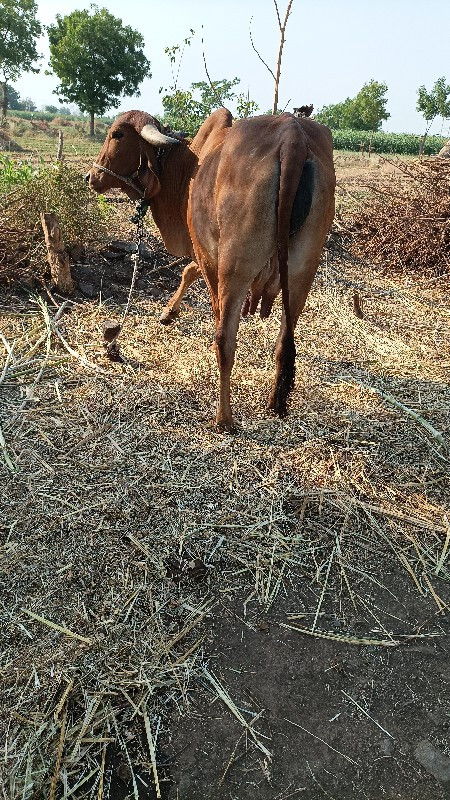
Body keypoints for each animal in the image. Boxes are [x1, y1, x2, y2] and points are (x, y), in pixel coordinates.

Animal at [87, 109, 334, 432]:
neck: (189, 166)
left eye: (117, 134)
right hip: (302, 272)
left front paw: (169, 312)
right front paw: (169, 312)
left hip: (235, 269)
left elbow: (191, 275)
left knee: (225, 341)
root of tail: (293, 138)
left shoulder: (207, 255)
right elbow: (188, 272)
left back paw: (223, 418)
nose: (91, 177)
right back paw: (273, 404)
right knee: (284, 344)